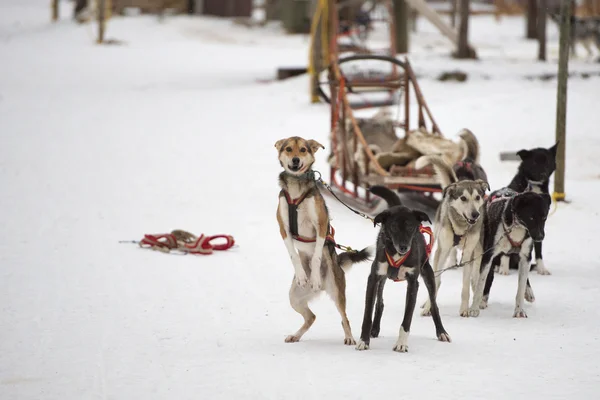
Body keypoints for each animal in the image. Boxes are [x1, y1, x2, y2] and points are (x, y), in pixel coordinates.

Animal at [276, 137, 370, 344]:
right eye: (289, 149)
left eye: (303, 149)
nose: (295, 160)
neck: (296, 187)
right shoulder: (283, 228)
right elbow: (294, 255)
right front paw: (303, 275)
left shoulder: (320, 224)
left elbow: (317, 255)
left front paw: (314, 275)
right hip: (294, 297)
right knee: (311, 317)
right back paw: (296, 335)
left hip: (337, 292)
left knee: (344, 318)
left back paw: (349, 337)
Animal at [356, 186, 450, 352]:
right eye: (393, 226)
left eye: (411, 226)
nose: (404, 247)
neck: (396, 254)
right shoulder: (373, 278)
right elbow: (367, 314)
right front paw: (363, 340)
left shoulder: (413, 283)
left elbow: (407, 318)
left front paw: (401, 343)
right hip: (382, 279)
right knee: (379, 303)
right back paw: (375, 329)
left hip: (428, 274)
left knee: (434, 305)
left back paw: (441, 332)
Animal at [474, 188, 552, 318]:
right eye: (531, 217)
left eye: (544, 217)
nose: (540, 237)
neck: (517, 227)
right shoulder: (488, 255)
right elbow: (482, 281)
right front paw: (474, 307)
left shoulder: (525, 256)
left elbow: (521, 286)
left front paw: (519, 311)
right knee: (489, 277)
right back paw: (483, 300)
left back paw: (528, 292)